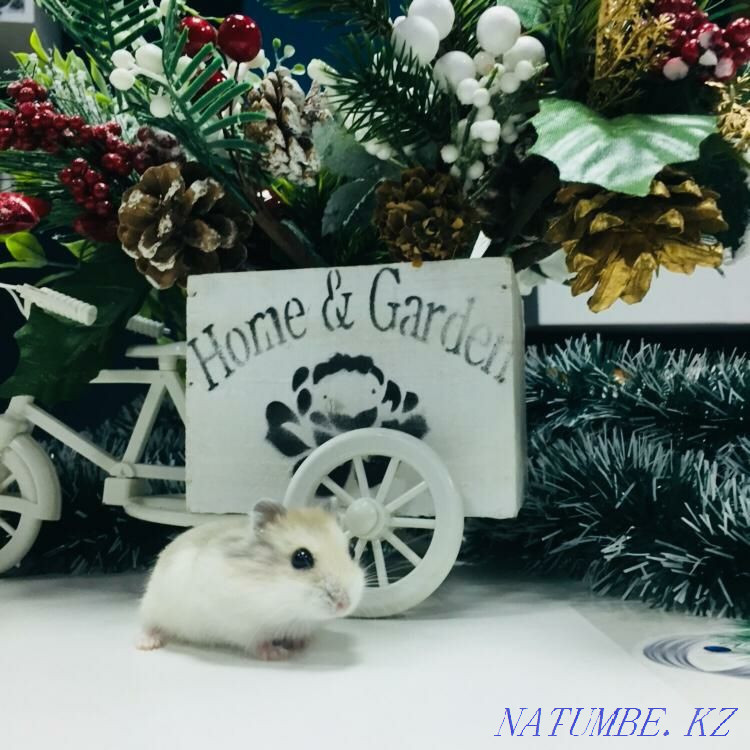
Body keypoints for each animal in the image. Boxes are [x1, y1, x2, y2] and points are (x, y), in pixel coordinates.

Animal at [137, 500, 365, 661]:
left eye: (351, 550)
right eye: (301, 558)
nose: (344, 605)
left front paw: (301, 645)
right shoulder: (242, 626)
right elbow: (257, 643)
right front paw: (279, 655)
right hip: (152, 605)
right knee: (146, 624)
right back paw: (148, 644)